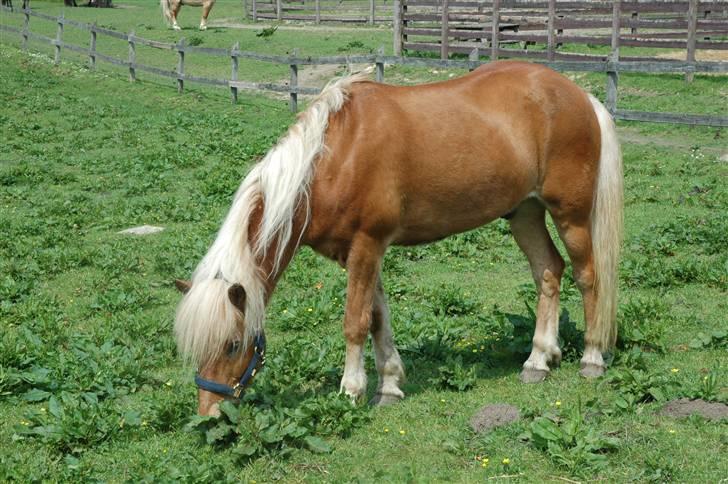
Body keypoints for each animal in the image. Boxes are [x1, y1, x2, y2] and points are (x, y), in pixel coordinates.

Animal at [176, 60, 624, 416]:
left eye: (233, 344)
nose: (210, 411)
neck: (331, 159)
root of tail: (581, 95)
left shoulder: (367, 245)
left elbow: (354, 322)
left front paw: (351, 390)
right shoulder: (361, 252)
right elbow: (377, 318)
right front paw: (389, 385)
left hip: (570, 215)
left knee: (587, 276)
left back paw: (591, 358)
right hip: (525, 213)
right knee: (548, 271)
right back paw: (538, 360)